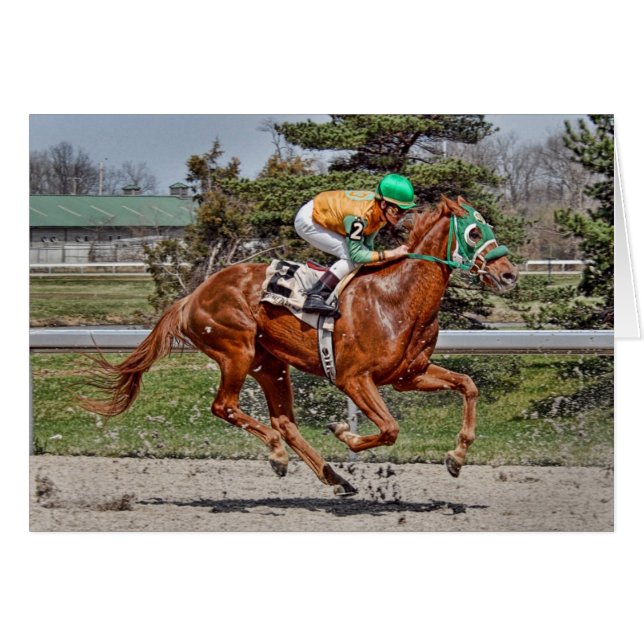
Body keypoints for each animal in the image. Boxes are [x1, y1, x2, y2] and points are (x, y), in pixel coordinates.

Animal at [79, 194, 518, 496]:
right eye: (475, 232)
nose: (509, 274)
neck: (397, 297)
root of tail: (192, 297)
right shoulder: (353, 379)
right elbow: (390, 428)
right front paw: (345, 433)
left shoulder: (410, 374)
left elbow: (468, 386)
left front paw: (456, 458)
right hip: (236, 350)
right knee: (226, 407)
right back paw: (278, 455)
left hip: (270, 364)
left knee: (284, 422)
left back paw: (335, 478)